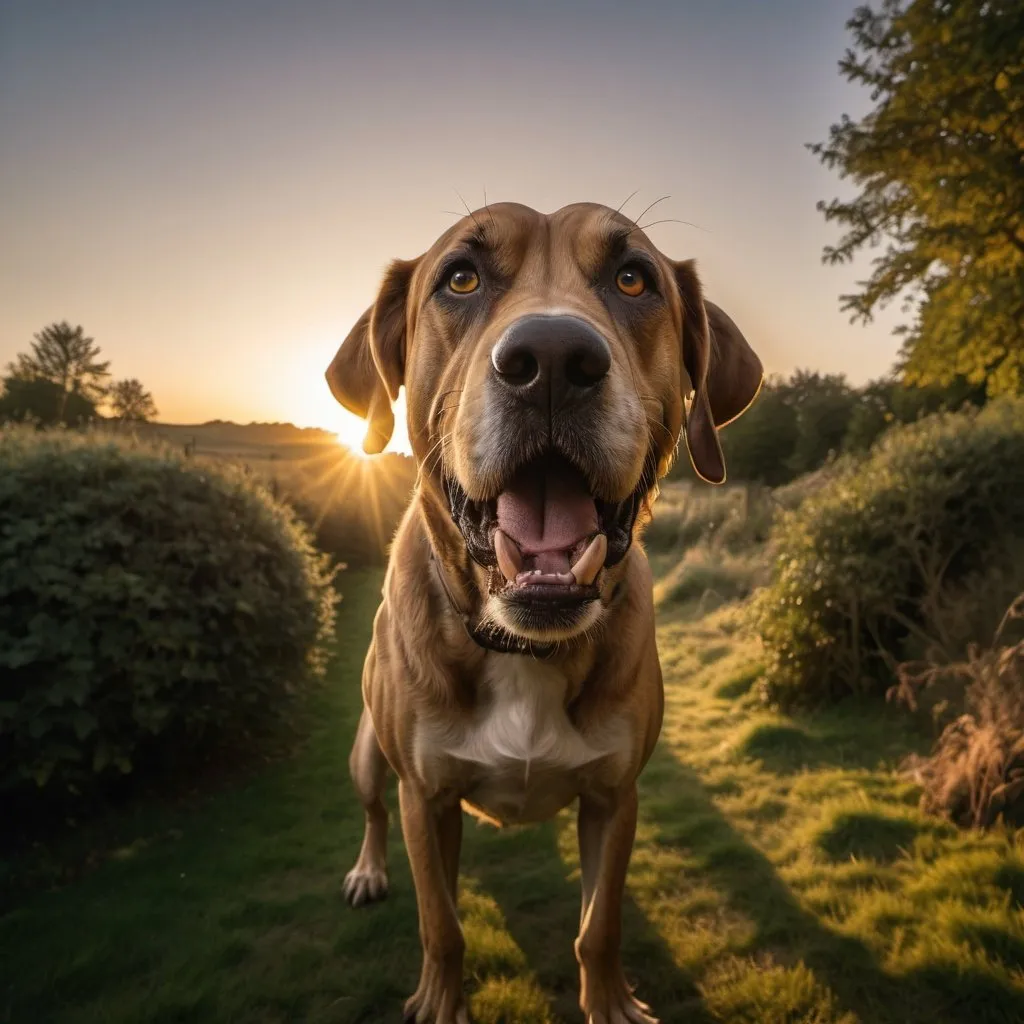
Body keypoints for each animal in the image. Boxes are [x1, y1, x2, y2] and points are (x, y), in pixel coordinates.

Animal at [327, 201, 761, 1024]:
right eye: (460, 278)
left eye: (634, 278)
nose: (554, 360)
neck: (521, 645)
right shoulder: (423, 797)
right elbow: (442, 925)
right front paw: (439, 1002)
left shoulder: (614, 797)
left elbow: (601, 924)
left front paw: (611, 1002)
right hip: (368, 752)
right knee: (369, 812)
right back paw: (367, 869)